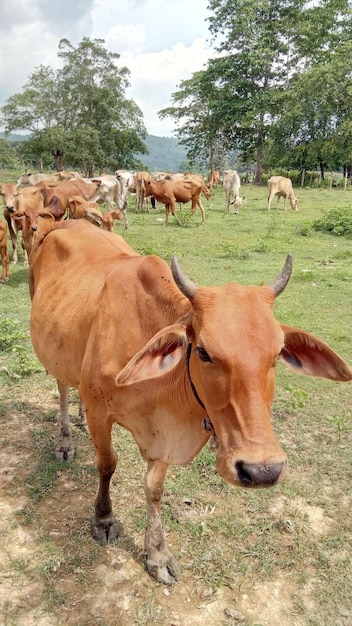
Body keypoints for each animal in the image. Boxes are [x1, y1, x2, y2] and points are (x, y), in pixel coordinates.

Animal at [28, 218, 352, 580]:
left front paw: (157, 553)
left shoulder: (165, 434)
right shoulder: (102, 412)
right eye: (203, 352)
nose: (262, 470)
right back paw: (65, 440)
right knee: (62, 387)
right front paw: (104, 519)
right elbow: (107, 464)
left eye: (278, 353)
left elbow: (154, 487)